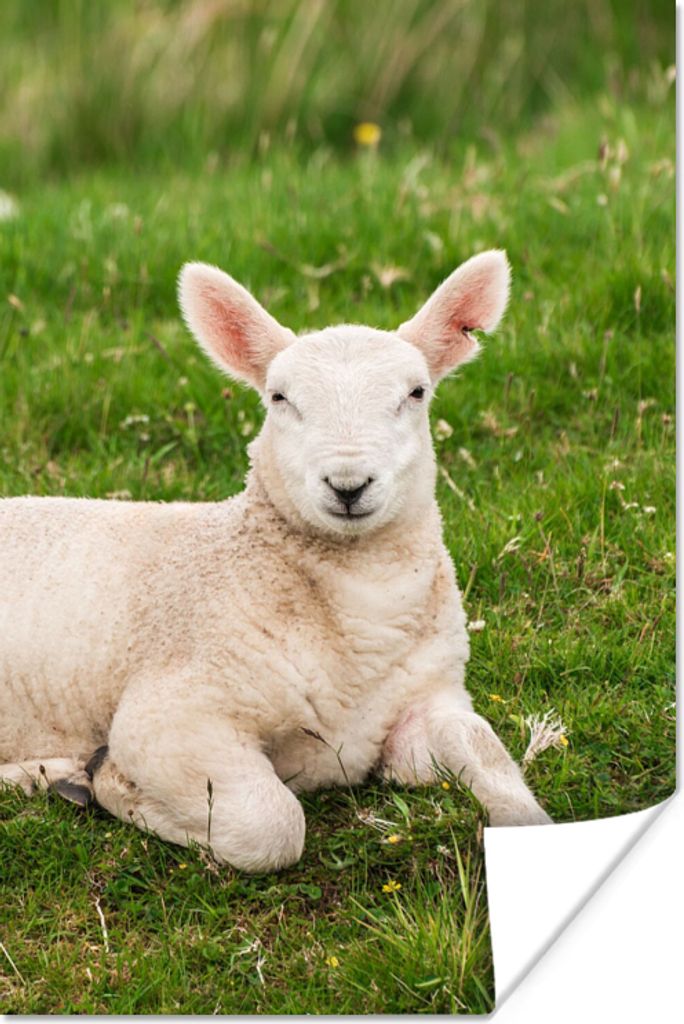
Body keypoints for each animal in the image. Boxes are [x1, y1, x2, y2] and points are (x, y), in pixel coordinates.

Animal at [0, 249, 551, 872]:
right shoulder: (170, 711)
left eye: (416, 393)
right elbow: (271, 824)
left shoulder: (427, 702)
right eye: (279, 398)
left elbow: (486, 752)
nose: (348, 485)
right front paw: (113, 783)